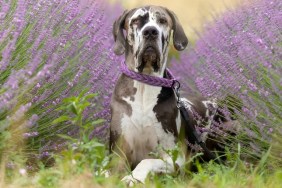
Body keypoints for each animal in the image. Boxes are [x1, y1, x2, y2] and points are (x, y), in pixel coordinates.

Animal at [110, 5, 236, 185]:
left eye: (162, 20)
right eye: (135, 20)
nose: (150, 31)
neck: (144, 86)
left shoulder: (175, 158)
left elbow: (147, 160)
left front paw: (134, 177)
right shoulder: (117, 152)